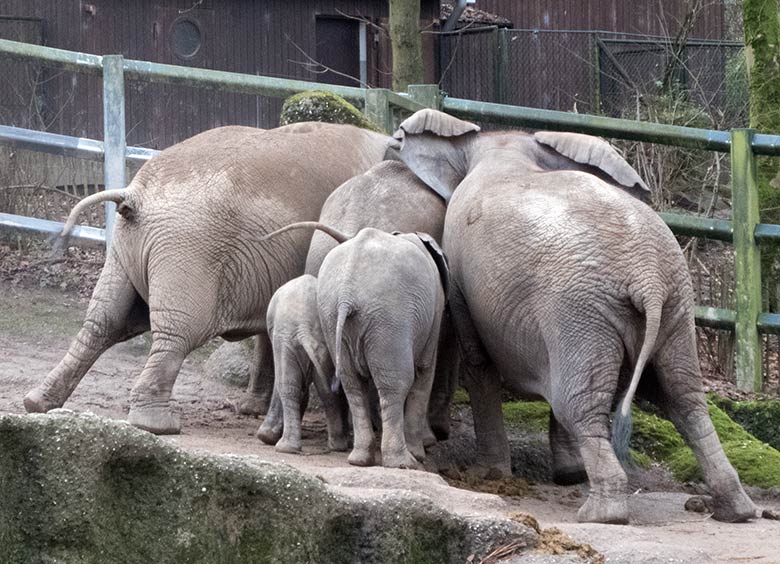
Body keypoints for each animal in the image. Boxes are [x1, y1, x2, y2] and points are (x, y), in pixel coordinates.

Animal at [23, 121, 390, 434]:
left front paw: (252, 411)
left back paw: (38, 403)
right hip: (186, 251)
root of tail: (134, 195)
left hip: (126, 250)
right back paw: (156, 425)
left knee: (103, 322)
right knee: (177, 333)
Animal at [262, 274, 348, 454]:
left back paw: (285, 448)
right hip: (323, 344)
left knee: (288, 387)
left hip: (287, 341)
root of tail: (303, 331)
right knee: (326, 390)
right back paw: (338, 446)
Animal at [390, 109, 756, 524]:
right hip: (673, 306)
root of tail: (647, 277)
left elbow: (479, 361)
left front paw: (489, 475)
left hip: (579, 311)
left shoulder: (464, 280)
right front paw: (567, 475)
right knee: (684, 398)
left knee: (580, 403)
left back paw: (601, 514)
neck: (509, 150)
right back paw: (735, 510)